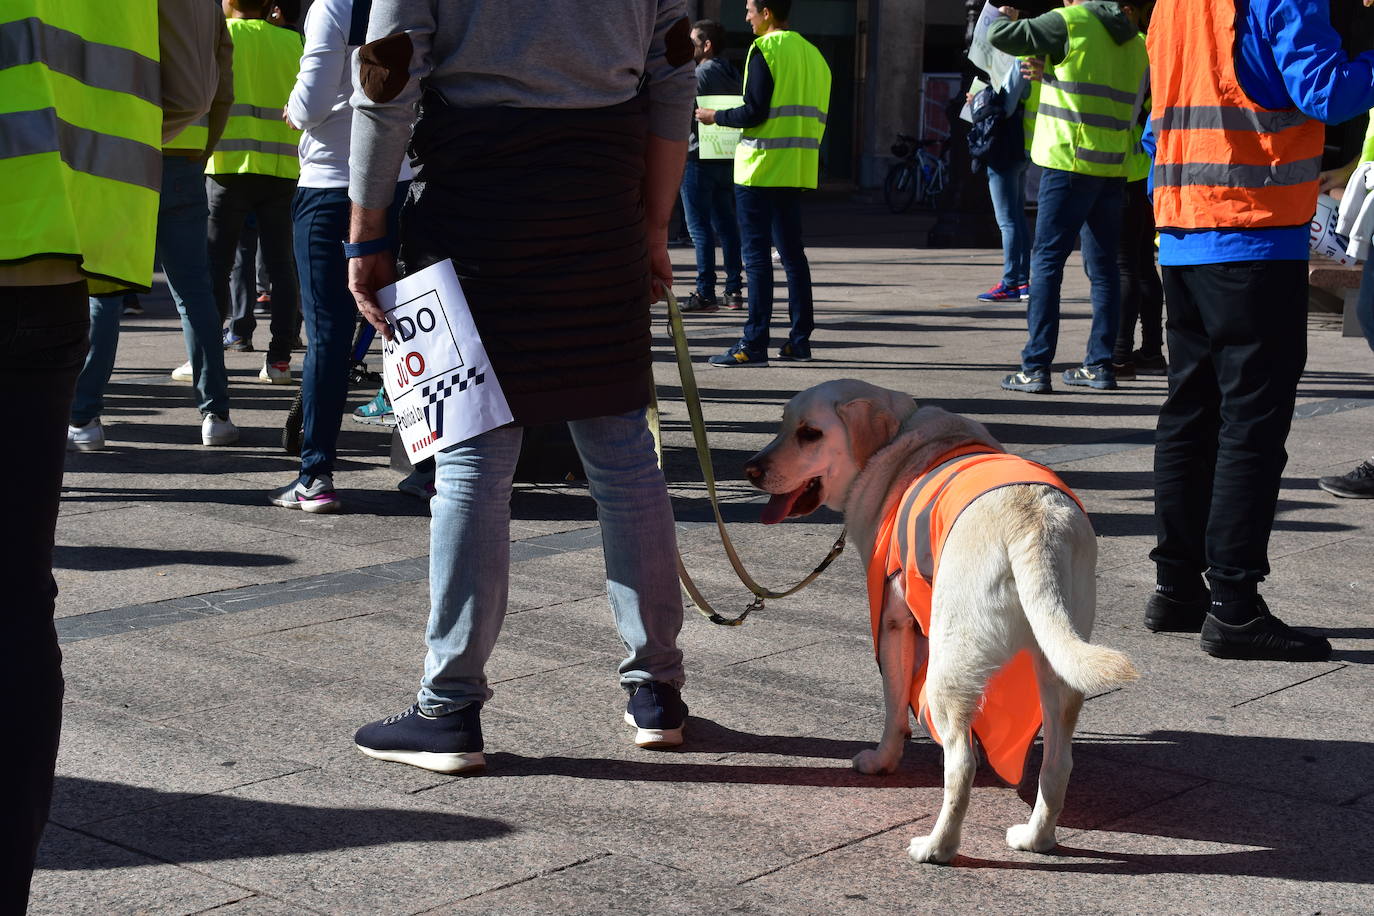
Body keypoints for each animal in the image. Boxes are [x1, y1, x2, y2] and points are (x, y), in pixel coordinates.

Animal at [747, 379, 1132, 867]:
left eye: (809, 433)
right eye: (782, 424)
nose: (750, 469)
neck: (898, 439)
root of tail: (1034, 525)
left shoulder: (892, 622)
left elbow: (895, 707)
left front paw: (882, 761)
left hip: (949, 664)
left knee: (962, 765)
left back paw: (936, 847)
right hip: (1057, 663)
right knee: (1057, 762)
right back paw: (1034, 838)